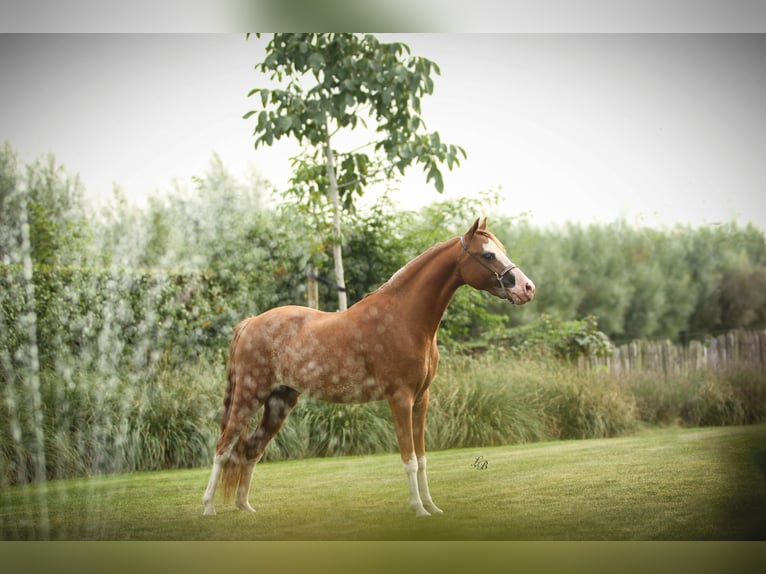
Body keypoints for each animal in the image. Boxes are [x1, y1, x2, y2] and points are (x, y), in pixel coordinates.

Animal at [204, 218, 540, 520]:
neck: (405, 318)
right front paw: (418, 509)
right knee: (223, 447)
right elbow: (409, 459)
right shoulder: (400, 399)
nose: (528, 288)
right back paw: (208, 508)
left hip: (280, 400)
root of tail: (250, 323)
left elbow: (423, 458)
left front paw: (432, 506)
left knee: (252, 450)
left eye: (500, 250)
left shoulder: (422, 400)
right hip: (249, 395)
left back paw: (245, 507)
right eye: (488, 255)